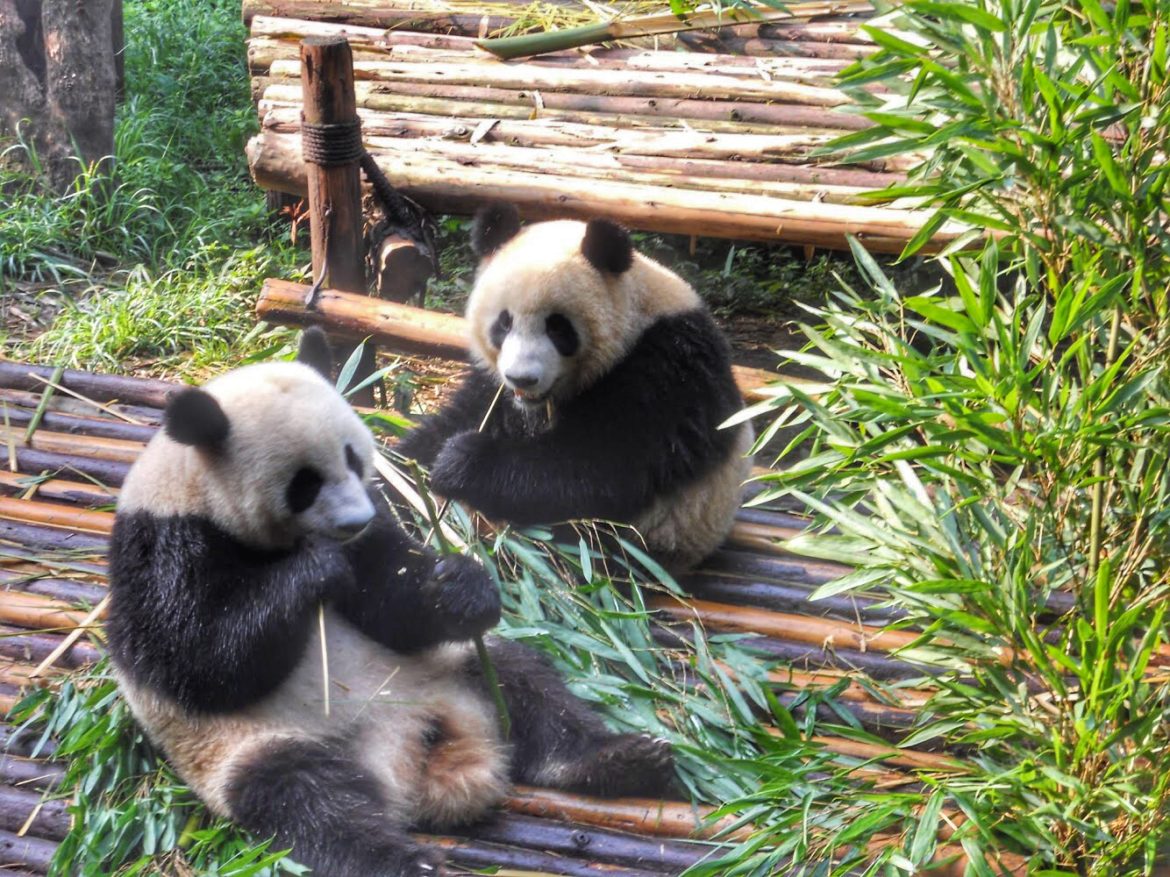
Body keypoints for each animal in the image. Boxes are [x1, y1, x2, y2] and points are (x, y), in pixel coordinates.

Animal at [106, 328, 675, 877]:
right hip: (256, 744)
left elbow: (391, 600)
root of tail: (410, 762)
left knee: (528, 686)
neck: (197, 488)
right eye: (305, 483)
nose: (355, 521)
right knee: (313, 805)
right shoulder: (164, 545)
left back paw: (619, 757)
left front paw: (460, 587)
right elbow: (201, 661)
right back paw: (407, 861)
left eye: (354, 457)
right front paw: (315, 571)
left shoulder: (376, 534)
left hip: (446, 668)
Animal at [399, 204, 753, 572]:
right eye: (504, 323)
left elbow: (599, 468)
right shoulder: (496, 386)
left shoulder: (667, 371)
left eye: (558, 327)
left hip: (649, 540)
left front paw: (462, 461)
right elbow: (465, 415)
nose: (522, 379)